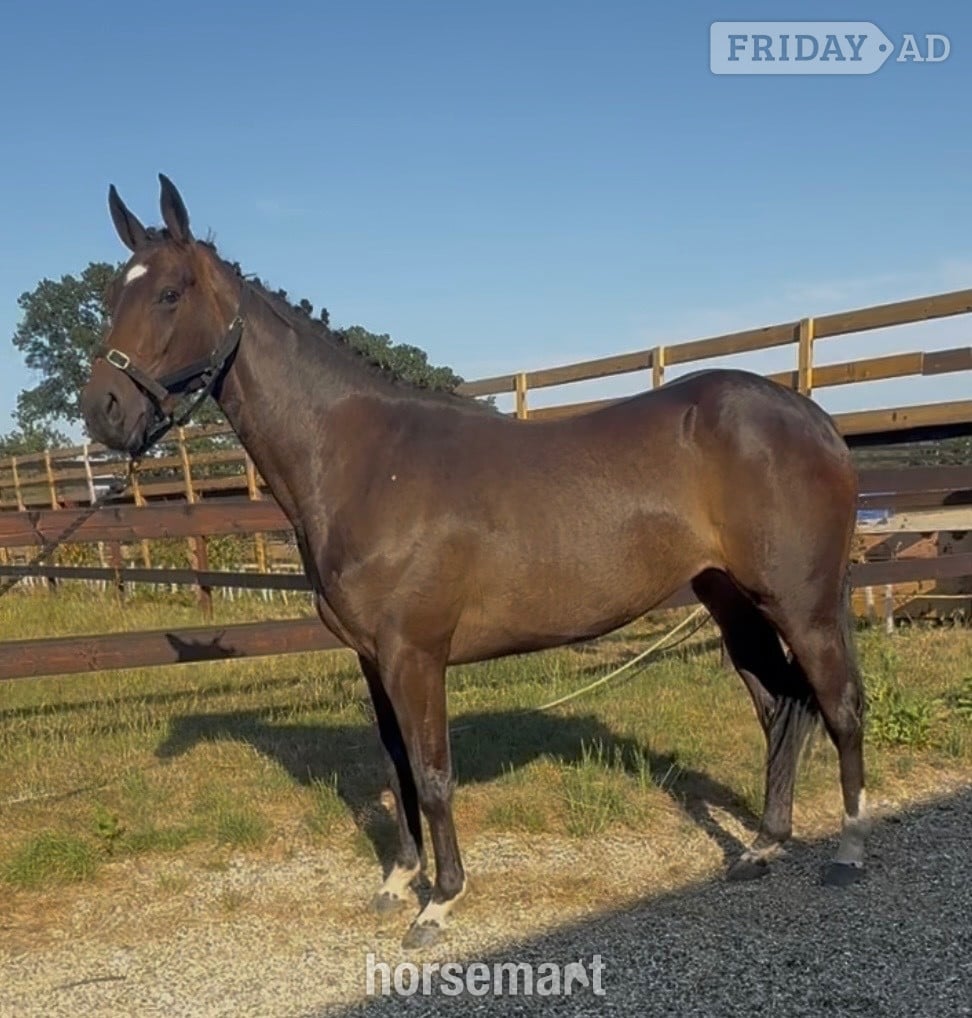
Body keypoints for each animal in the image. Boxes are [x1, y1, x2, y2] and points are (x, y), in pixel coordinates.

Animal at [80, 174, 869, 949]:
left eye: (170, 293)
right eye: (112, 295)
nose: (103, 411)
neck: (363, 459)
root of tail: (811, 418)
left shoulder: (415, 655)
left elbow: (432, 776)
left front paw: (439, 903)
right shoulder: (374, 658)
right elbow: (397, 766)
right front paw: (398, 881)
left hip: (803, 607)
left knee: (838, 707)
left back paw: (850, 850)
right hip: (731, 600)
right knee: (779, 708)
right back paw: (764, 845)